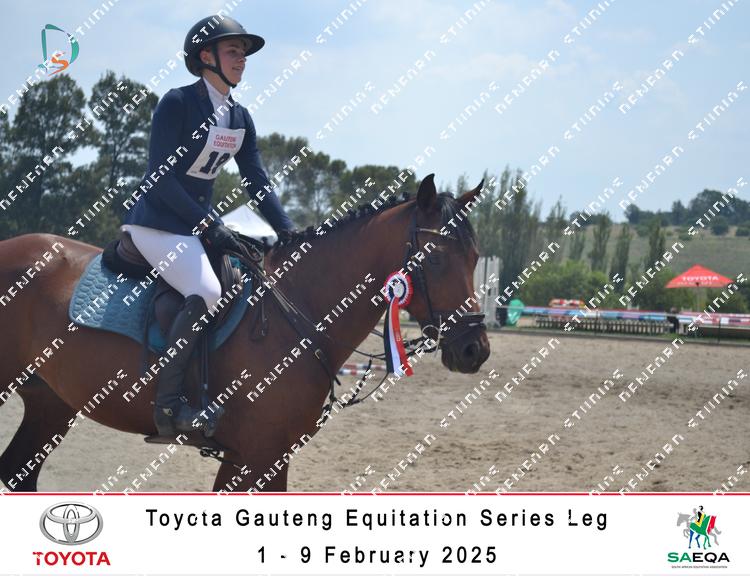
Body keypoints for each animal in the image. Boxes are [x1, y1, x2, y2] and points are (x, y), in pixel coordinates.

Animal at [0, 174, 491, 491]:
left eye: (475, 258)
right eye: (434, 258)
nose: (475, 349)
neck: (297, 313)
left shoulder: (268, 457)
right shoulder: (255, 456)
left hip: (51, 402)